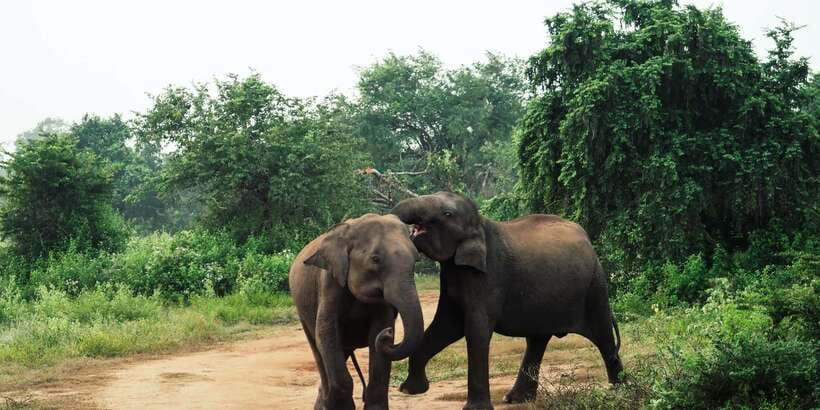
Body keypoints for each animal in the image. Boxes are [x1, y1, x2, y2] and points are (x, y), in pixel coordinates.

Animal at [289, 213, 424, 410]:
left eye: (416, 260)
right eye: (375, 259)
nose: (389, 333)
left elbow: (377, 332)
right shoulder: (329, 282)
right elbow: (326, 333)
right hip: (302, 311)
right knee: (318, 350)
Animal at [390, 192, 623, 410]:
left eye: (447, 214)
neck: (481, 224)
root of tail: (588, 241)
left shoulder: (490, 276)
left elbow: (475, 331)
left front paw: (475, 408)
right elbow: (445, 326)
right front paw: (411, 390)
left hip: (595, 284)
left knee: (603, 335)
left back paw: (620, 389)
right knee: (537, 340)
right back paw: (516, 399)